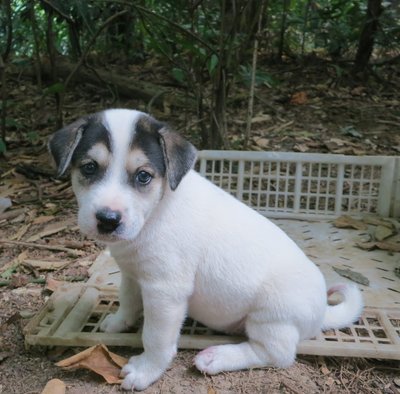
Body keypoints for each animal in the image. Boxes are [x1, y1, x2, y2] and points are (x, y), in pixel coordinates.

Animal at [48, 107, 364, 390]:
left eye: (143, 176)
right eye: (89, 167)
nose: (108, 220)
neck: (156, 212)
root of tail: (321, 313)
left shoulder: (165, 293)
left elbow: (155, 338)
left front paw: (146, 371)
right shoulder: (132, 274)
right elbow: (127, 300)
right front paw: (118, 323)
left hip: (271, 318)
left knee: (277, 354)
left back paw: (217, 357)